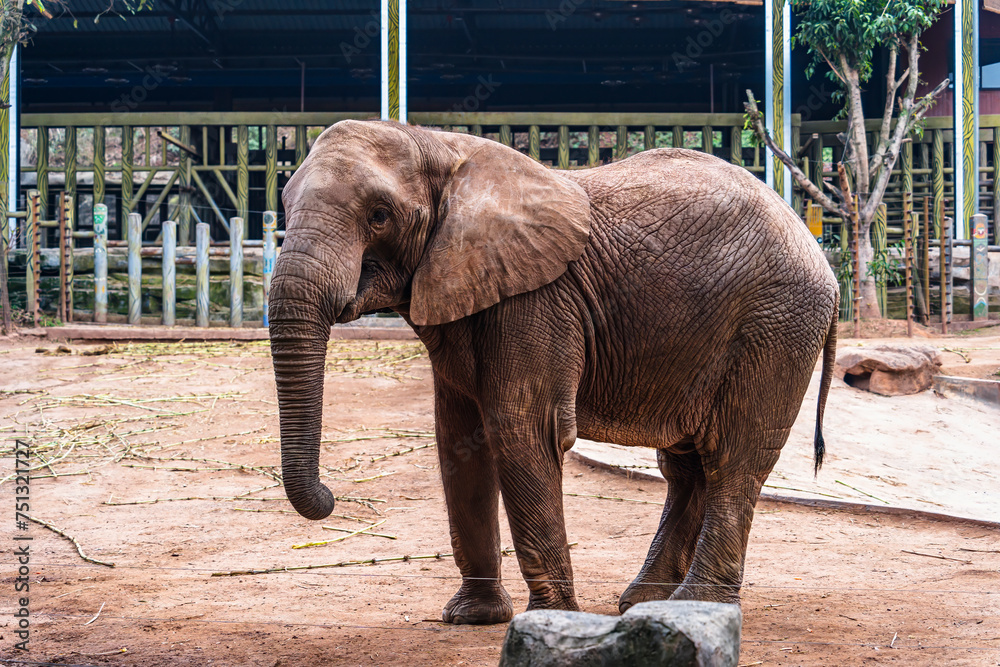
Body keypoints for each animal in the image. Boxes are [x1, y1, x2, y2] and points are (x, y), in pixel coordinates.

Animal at [269, 119, 839, 625]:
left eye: (380, 216)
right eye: (284, 205)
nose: (329, 498)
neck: (439, 146)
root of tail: (818, 251)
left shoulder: (537, 300)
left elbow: (521, 431)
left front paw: (552, 619)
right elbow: (459, 440)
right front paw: (472, 618)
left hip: (776, 325)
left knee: (731, 459)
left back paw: (695, 604)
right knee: (686, 466)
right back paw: (646, 602)